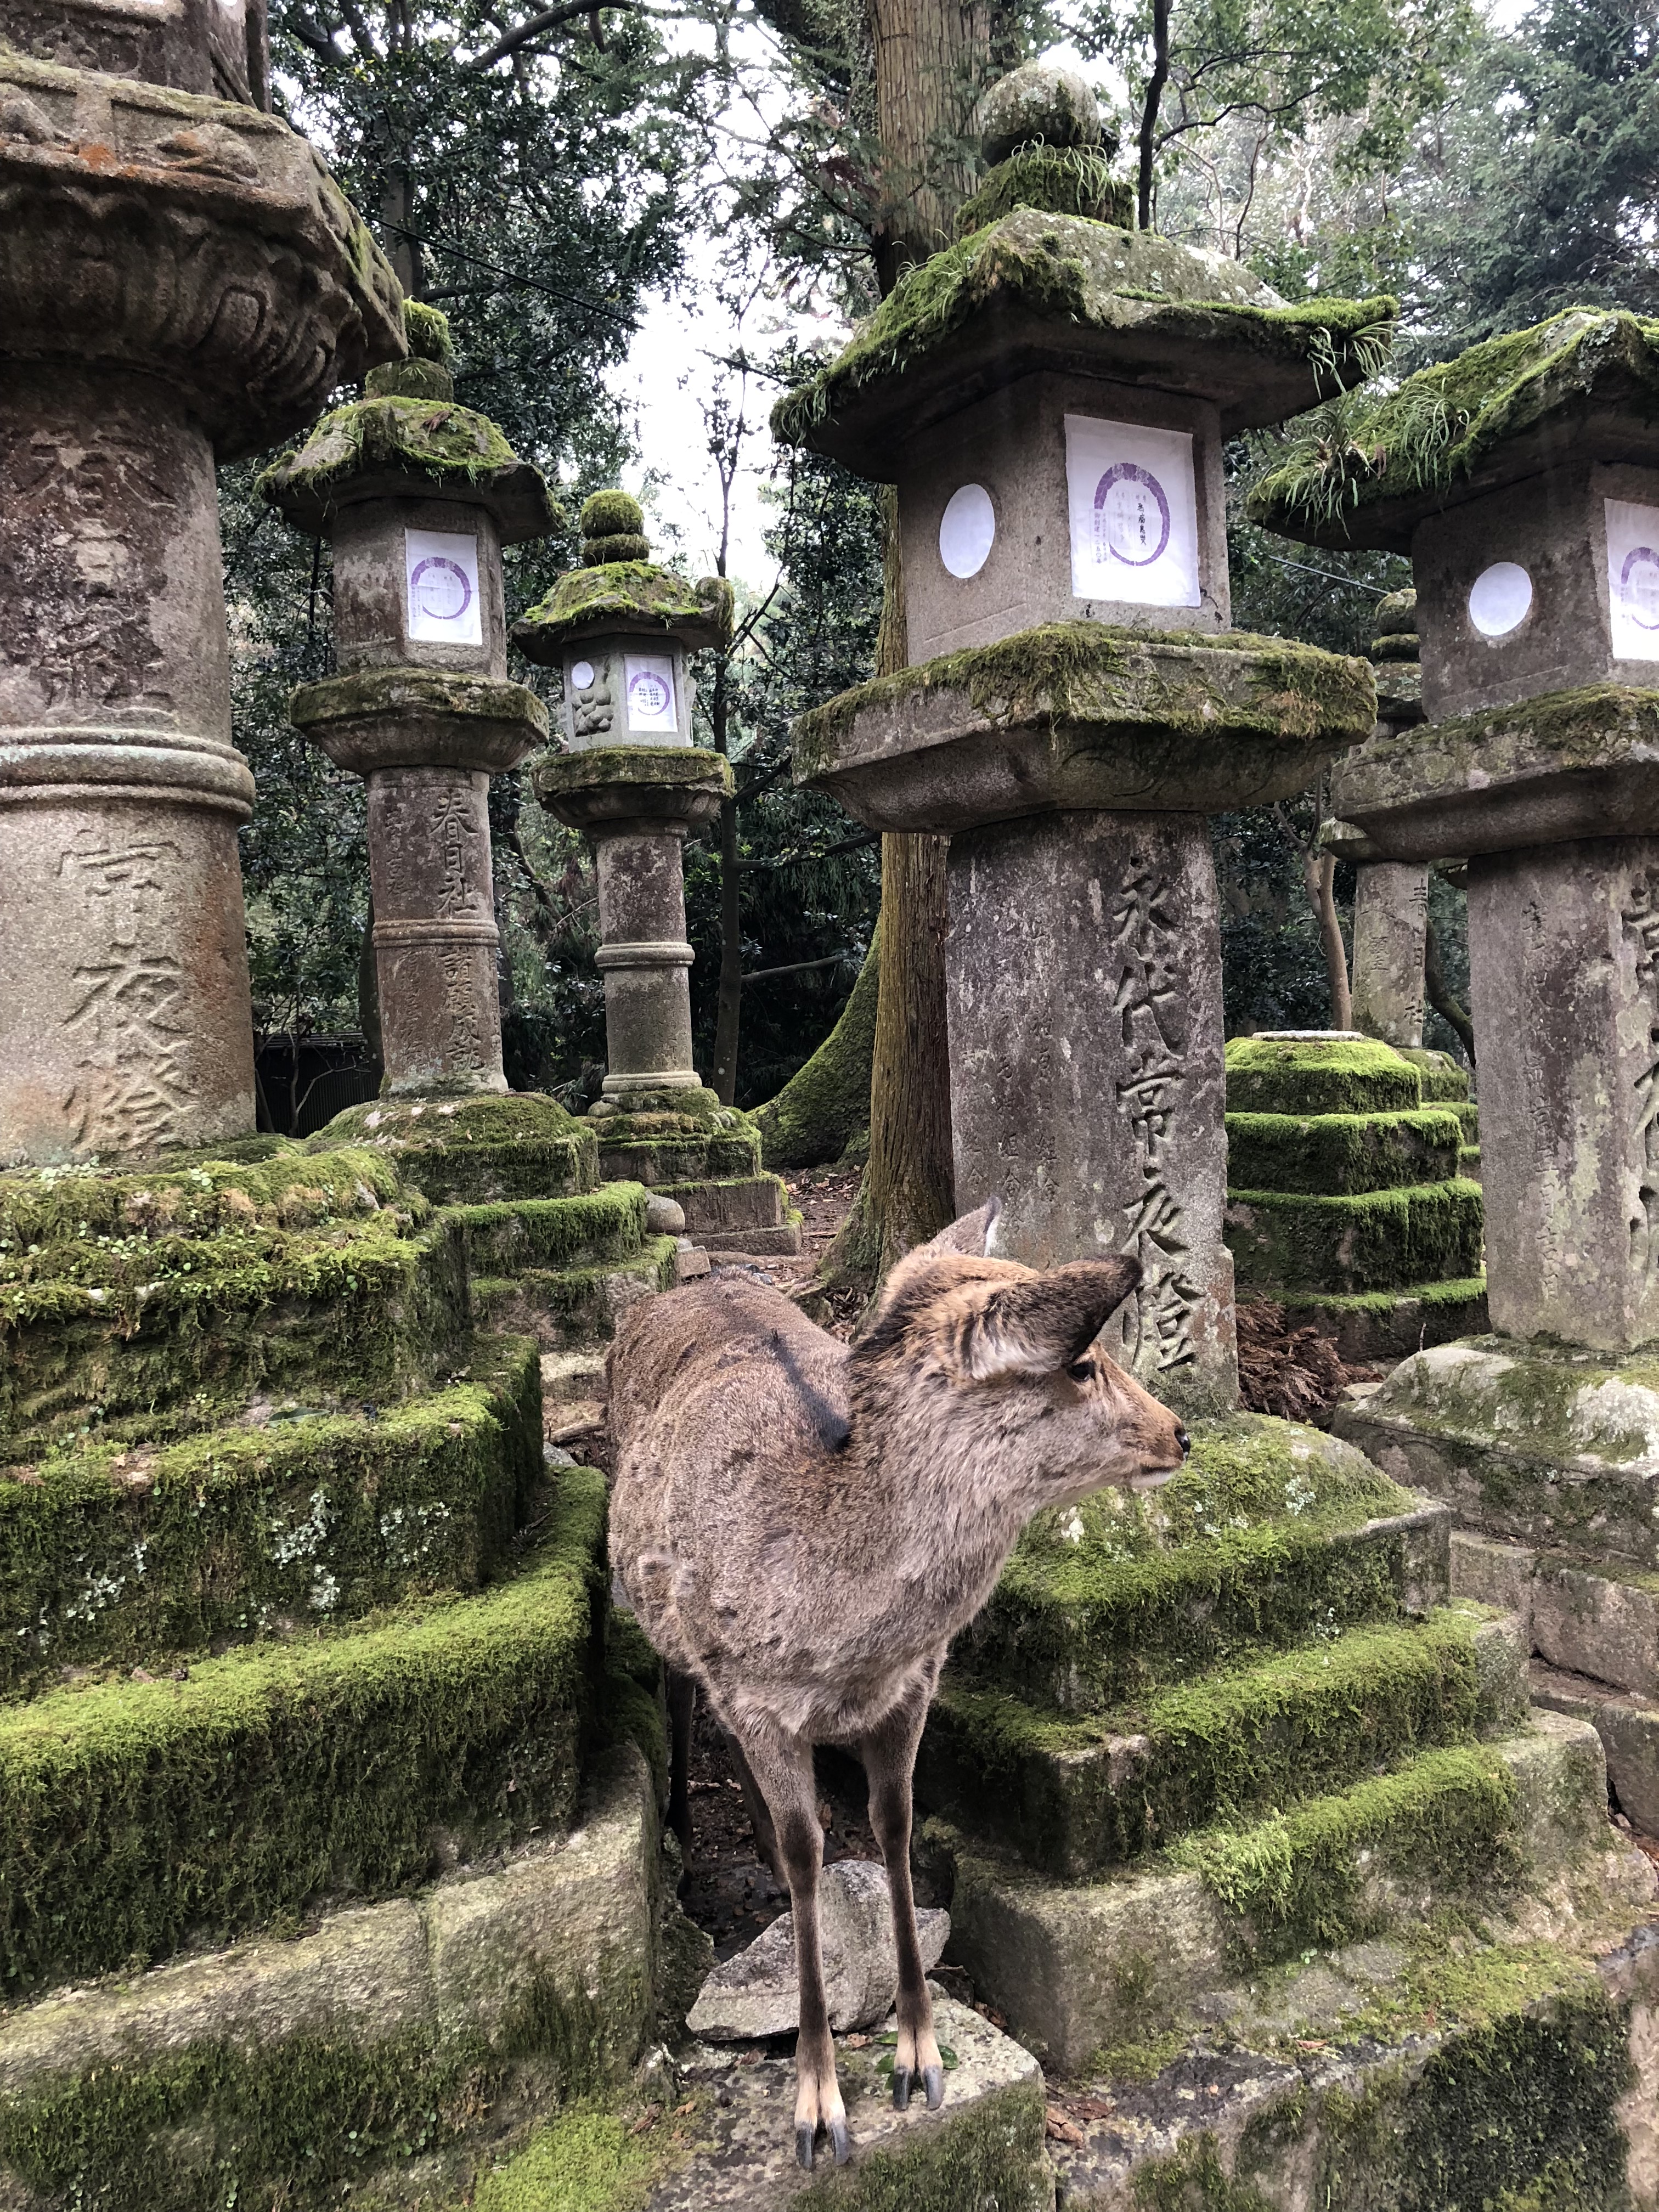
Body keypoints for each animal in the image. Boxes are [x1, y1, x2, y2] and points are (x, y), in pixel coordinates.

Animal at [606, 1200, 1190, 2171]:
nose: (1181, 1431)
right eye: (1080, 1362)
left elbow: (895, 1823)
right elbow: (811, 1853)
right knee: (681, 1692)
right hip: (665, 1613)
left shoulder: (917, 1683)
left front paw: (921, 2059)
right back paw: (690, 1827)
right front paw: (817, 2108)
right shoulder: (756, 1692)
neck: (842, 1638)